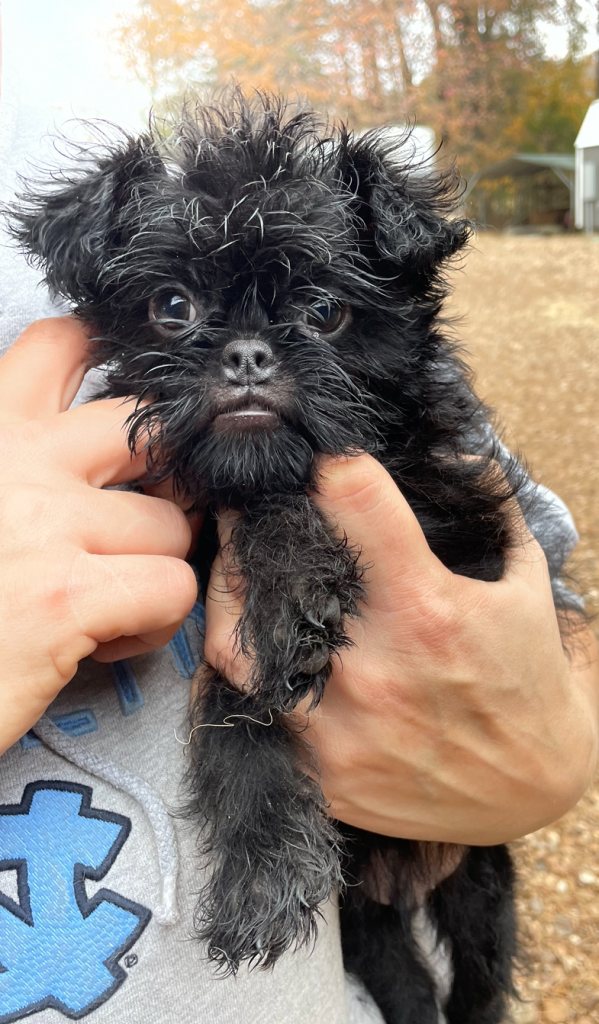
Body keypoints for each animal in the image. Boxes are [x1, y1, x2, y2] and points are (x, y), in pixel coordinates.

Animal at [7, 92, 577, 1024]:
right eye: (171, 306)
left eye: (322, 312)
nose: (245, 353)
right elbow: (233, 707)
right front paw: (261, 877)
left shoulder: (464, 533)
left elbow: (284, 503)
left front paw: (285, 592)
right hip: (372, 920)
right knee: (403, 980)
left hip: (482, 886)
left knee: (479, 980)